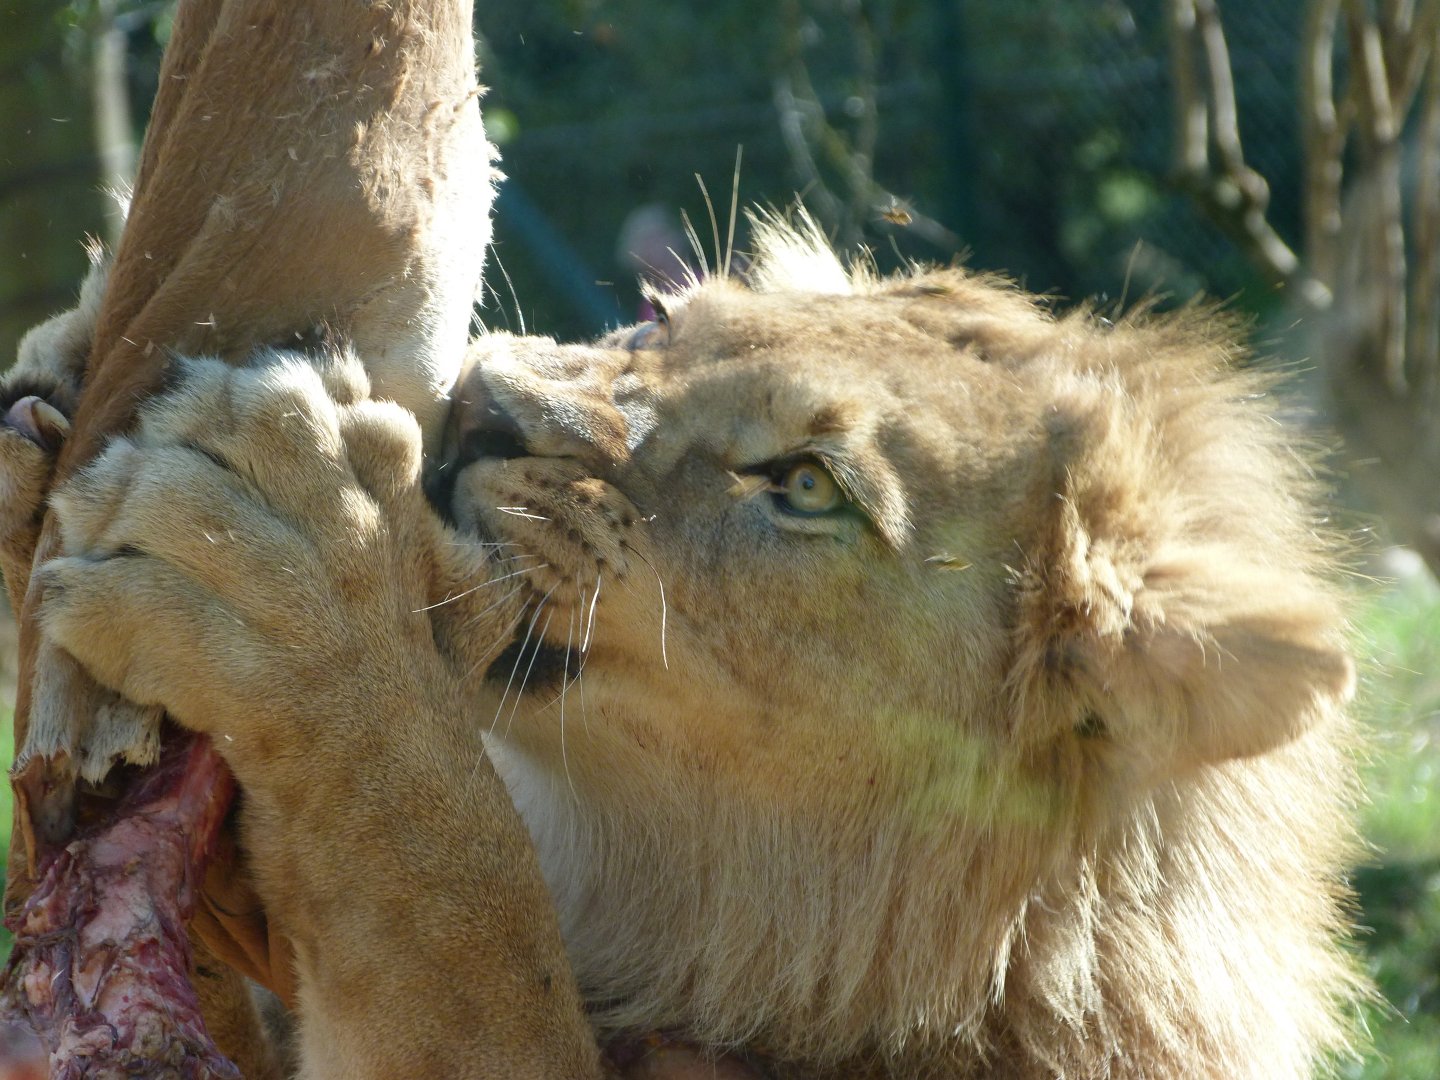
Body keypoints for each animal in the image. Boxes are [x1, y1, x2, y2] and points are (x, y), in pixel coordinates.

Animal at [3, 215, 1363, 1078]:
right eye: (658, 317)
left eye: (808, 485)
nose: (477, 407)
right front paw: (53, 388)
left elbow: (451, 894)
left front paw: (308, 566)